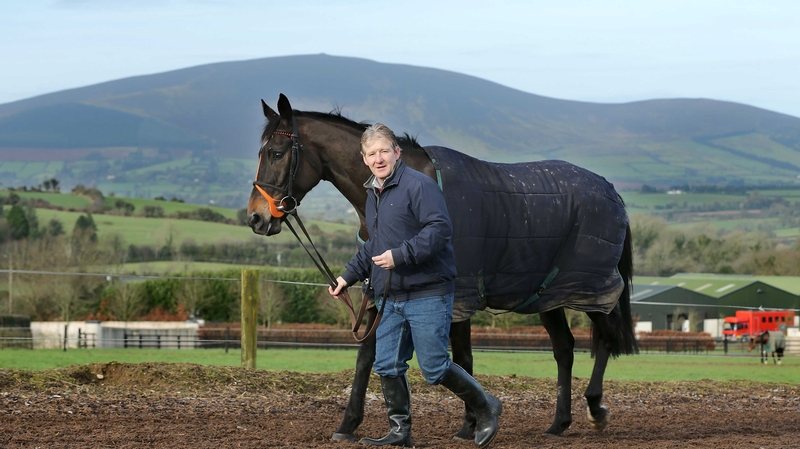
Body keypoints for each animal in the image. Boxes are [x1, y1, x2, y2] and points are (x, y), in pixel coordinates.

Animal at [246, 94, 638, 442]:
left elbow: (460, 359)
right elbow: (367, 357)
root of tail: (611, 192)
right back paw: (559, 423)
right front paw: (347, 425)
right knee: (564, 349)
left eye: (277, 153)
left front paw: (471, 425)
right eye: (260, 152)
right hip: (547, 295)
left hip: (590, 287)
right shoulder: (381, 293)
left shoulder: (458, 295)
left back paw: (596, 409)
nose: (256, 218)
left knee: (605, 336)